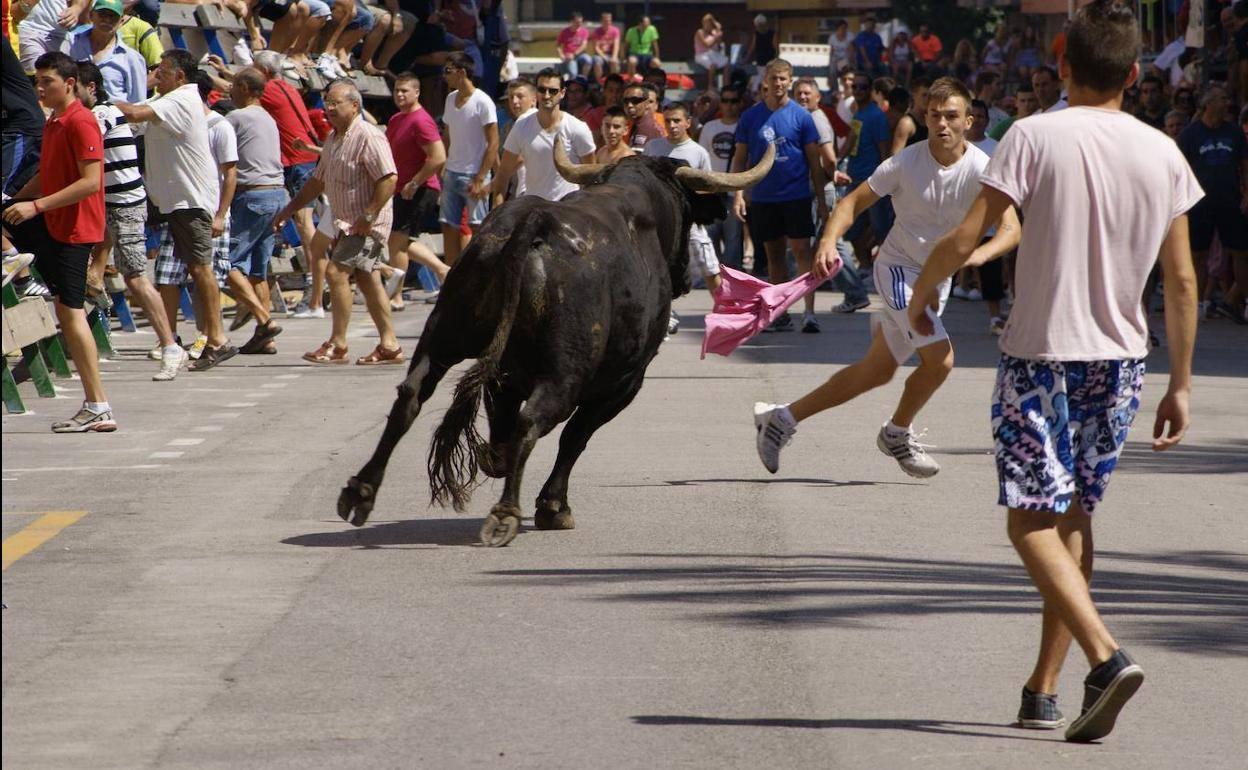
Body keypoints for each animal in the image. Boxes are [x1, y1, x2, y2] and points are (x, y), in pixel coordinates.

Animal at [336, 141, 773, 544]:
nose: (683, 276)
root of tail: (536, 222)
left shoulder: (507, 376)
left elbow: (508, 430)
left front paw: (496, 460)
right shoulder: (624, 383)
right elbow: (575, 437)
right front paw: (553, 506)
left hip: (444, 336)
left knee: (412, 396)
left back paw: (361, 492)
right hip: (565, 372)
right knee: (536, 420)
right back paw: (506, 513)